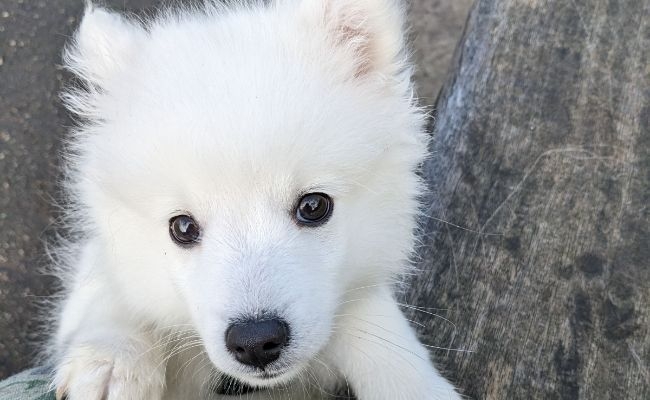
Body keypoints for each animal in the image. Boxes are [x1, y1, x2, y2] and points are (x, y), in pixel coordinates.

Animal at [48, 0, 458, 400]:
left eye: (313, 206)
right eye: (182, 227)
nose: (256, 341)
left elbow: (372, 321)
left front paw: (410, 380)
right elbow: (111, 288)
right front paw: (111, 358)